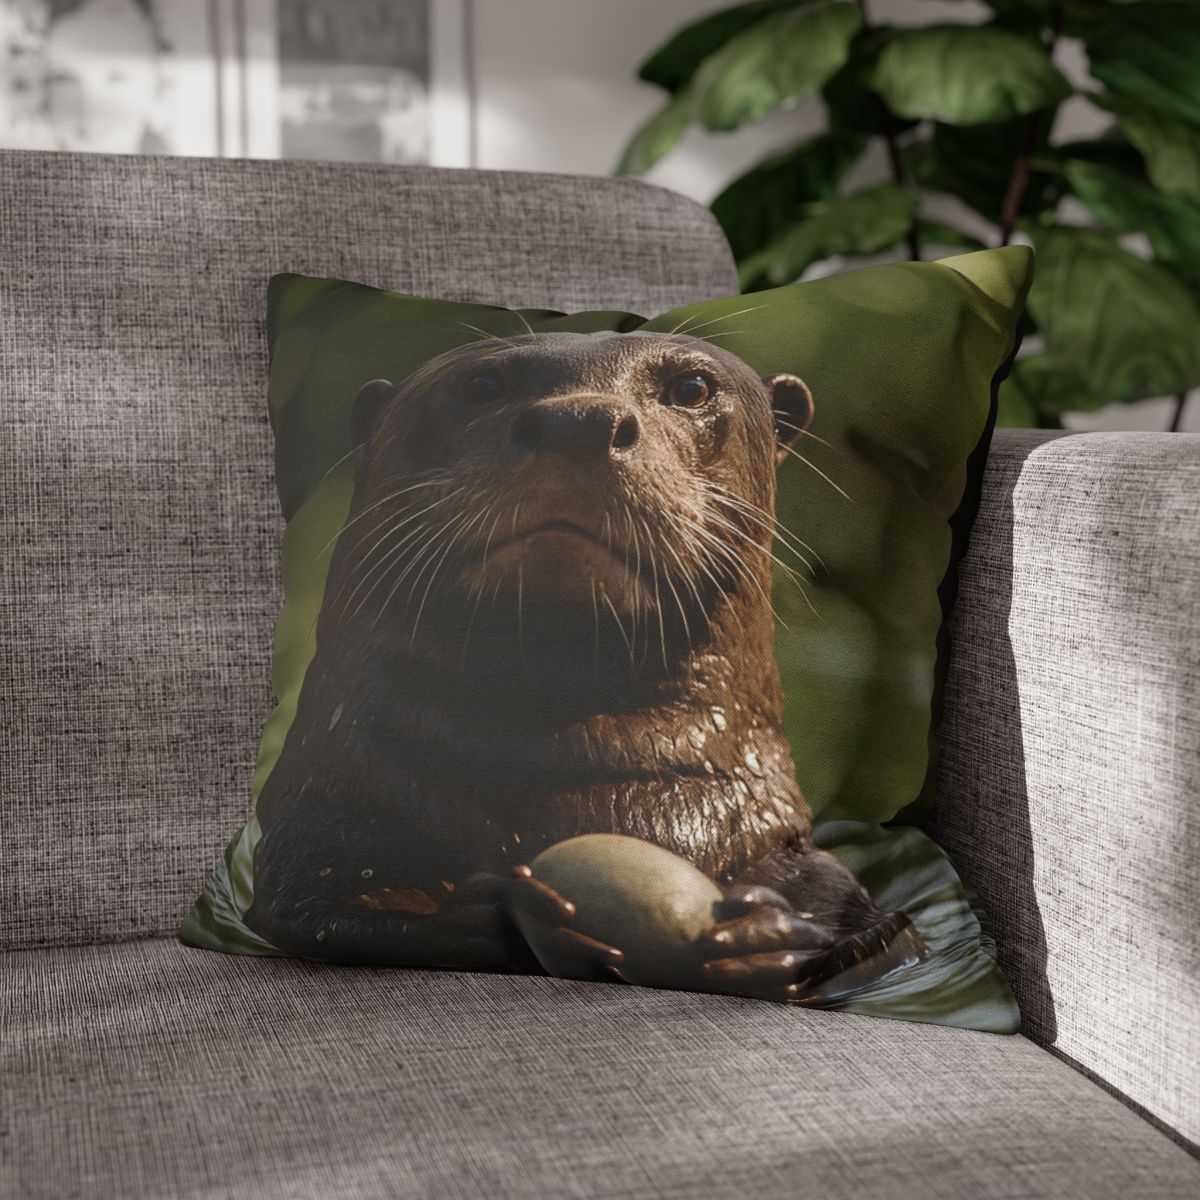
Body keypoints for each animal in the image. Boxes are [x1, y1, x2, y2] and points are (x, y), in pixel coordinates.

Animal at [247, 330, 923, 1002]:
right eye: (481, 385)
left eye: (691, 387)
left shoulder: (796, 857)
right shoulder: (323, 822)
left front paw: (768, 935)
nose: (580, 421)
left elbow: (870, 931)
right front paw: (496, 914)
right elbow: (320, 910)